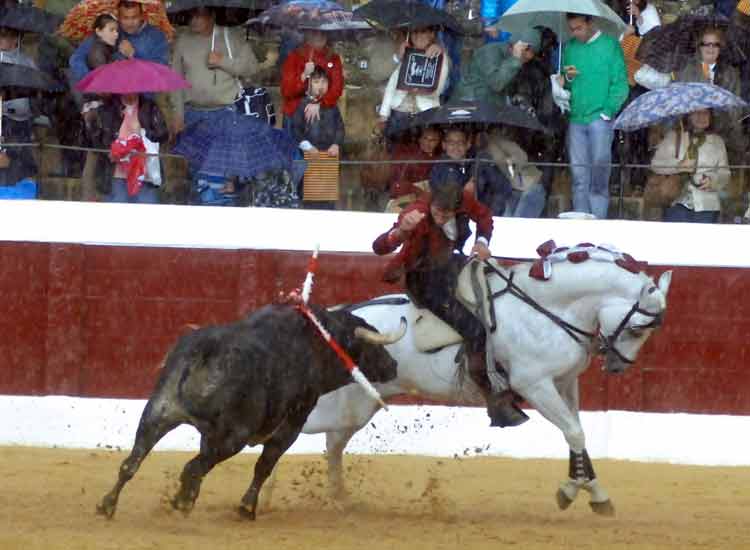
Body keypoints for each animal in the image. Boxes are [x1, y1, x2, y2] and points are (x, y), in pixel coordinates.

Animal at [100, 304, 408, 520]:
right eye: (371, 346)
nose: (393, 365)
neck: (317, 343)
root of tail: (207, 350)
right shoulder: (293, 423)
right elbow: (265, 464)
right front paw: (247, 508)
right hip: (231, 437)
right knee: (193, 467)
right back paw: (182, 502)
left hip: (158, 412)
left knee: (132, 463)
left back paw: (108, 506)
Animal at [284, 254, 676, 516]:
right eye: (637, 329)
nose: (618, 366)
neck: (547, 310)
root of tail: (335, 319)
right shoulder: (536, 385)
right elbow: (574, 432)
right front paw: (573, 491)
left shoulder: (565, 384)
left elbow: (576, 433)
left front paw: (592, 492)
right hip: (334, 405)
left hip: (356, 406)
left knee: (334, 444)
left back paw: (340, 498)